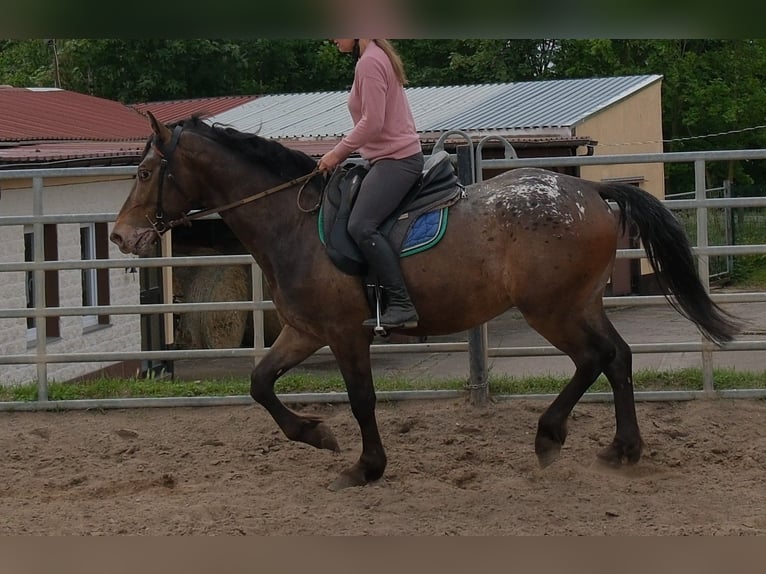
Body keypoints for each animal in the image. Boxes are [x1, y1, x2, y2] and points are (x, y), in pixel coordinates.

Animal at [110, 112, 741, 490]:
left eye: (144, 171)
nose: (119, 236)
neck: (295, 223)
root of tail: (588, 187)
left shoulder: (345, 333)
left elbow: (362, 399)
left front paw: (366, 466)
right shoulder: (305, 330)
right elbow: (260, 384)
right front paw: (316, 435)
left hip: (552, 309)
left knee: (594, 360)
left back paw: (550, 436)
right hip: (580, 303)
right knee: (619, 358)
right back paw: (622, 449)